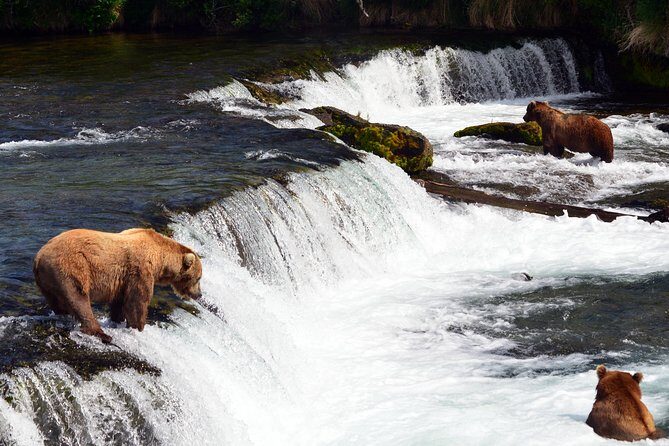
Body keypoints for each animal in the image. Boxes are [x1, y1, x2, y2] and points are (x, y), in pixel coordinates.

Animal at [33, 228, 202, 343]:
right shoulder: (140, 270)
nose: (199, 294)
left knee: (58, 302)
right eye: (199, 278)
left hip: (47, 282)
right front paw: (138, 327)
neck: (161, 260)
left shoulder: (123, 281)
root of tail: (39, 257)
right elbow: (137, 302)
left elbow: (120, 303)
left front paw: (117, 321)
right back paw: (102, 334)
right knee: (79, 299)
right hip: (70, 269)